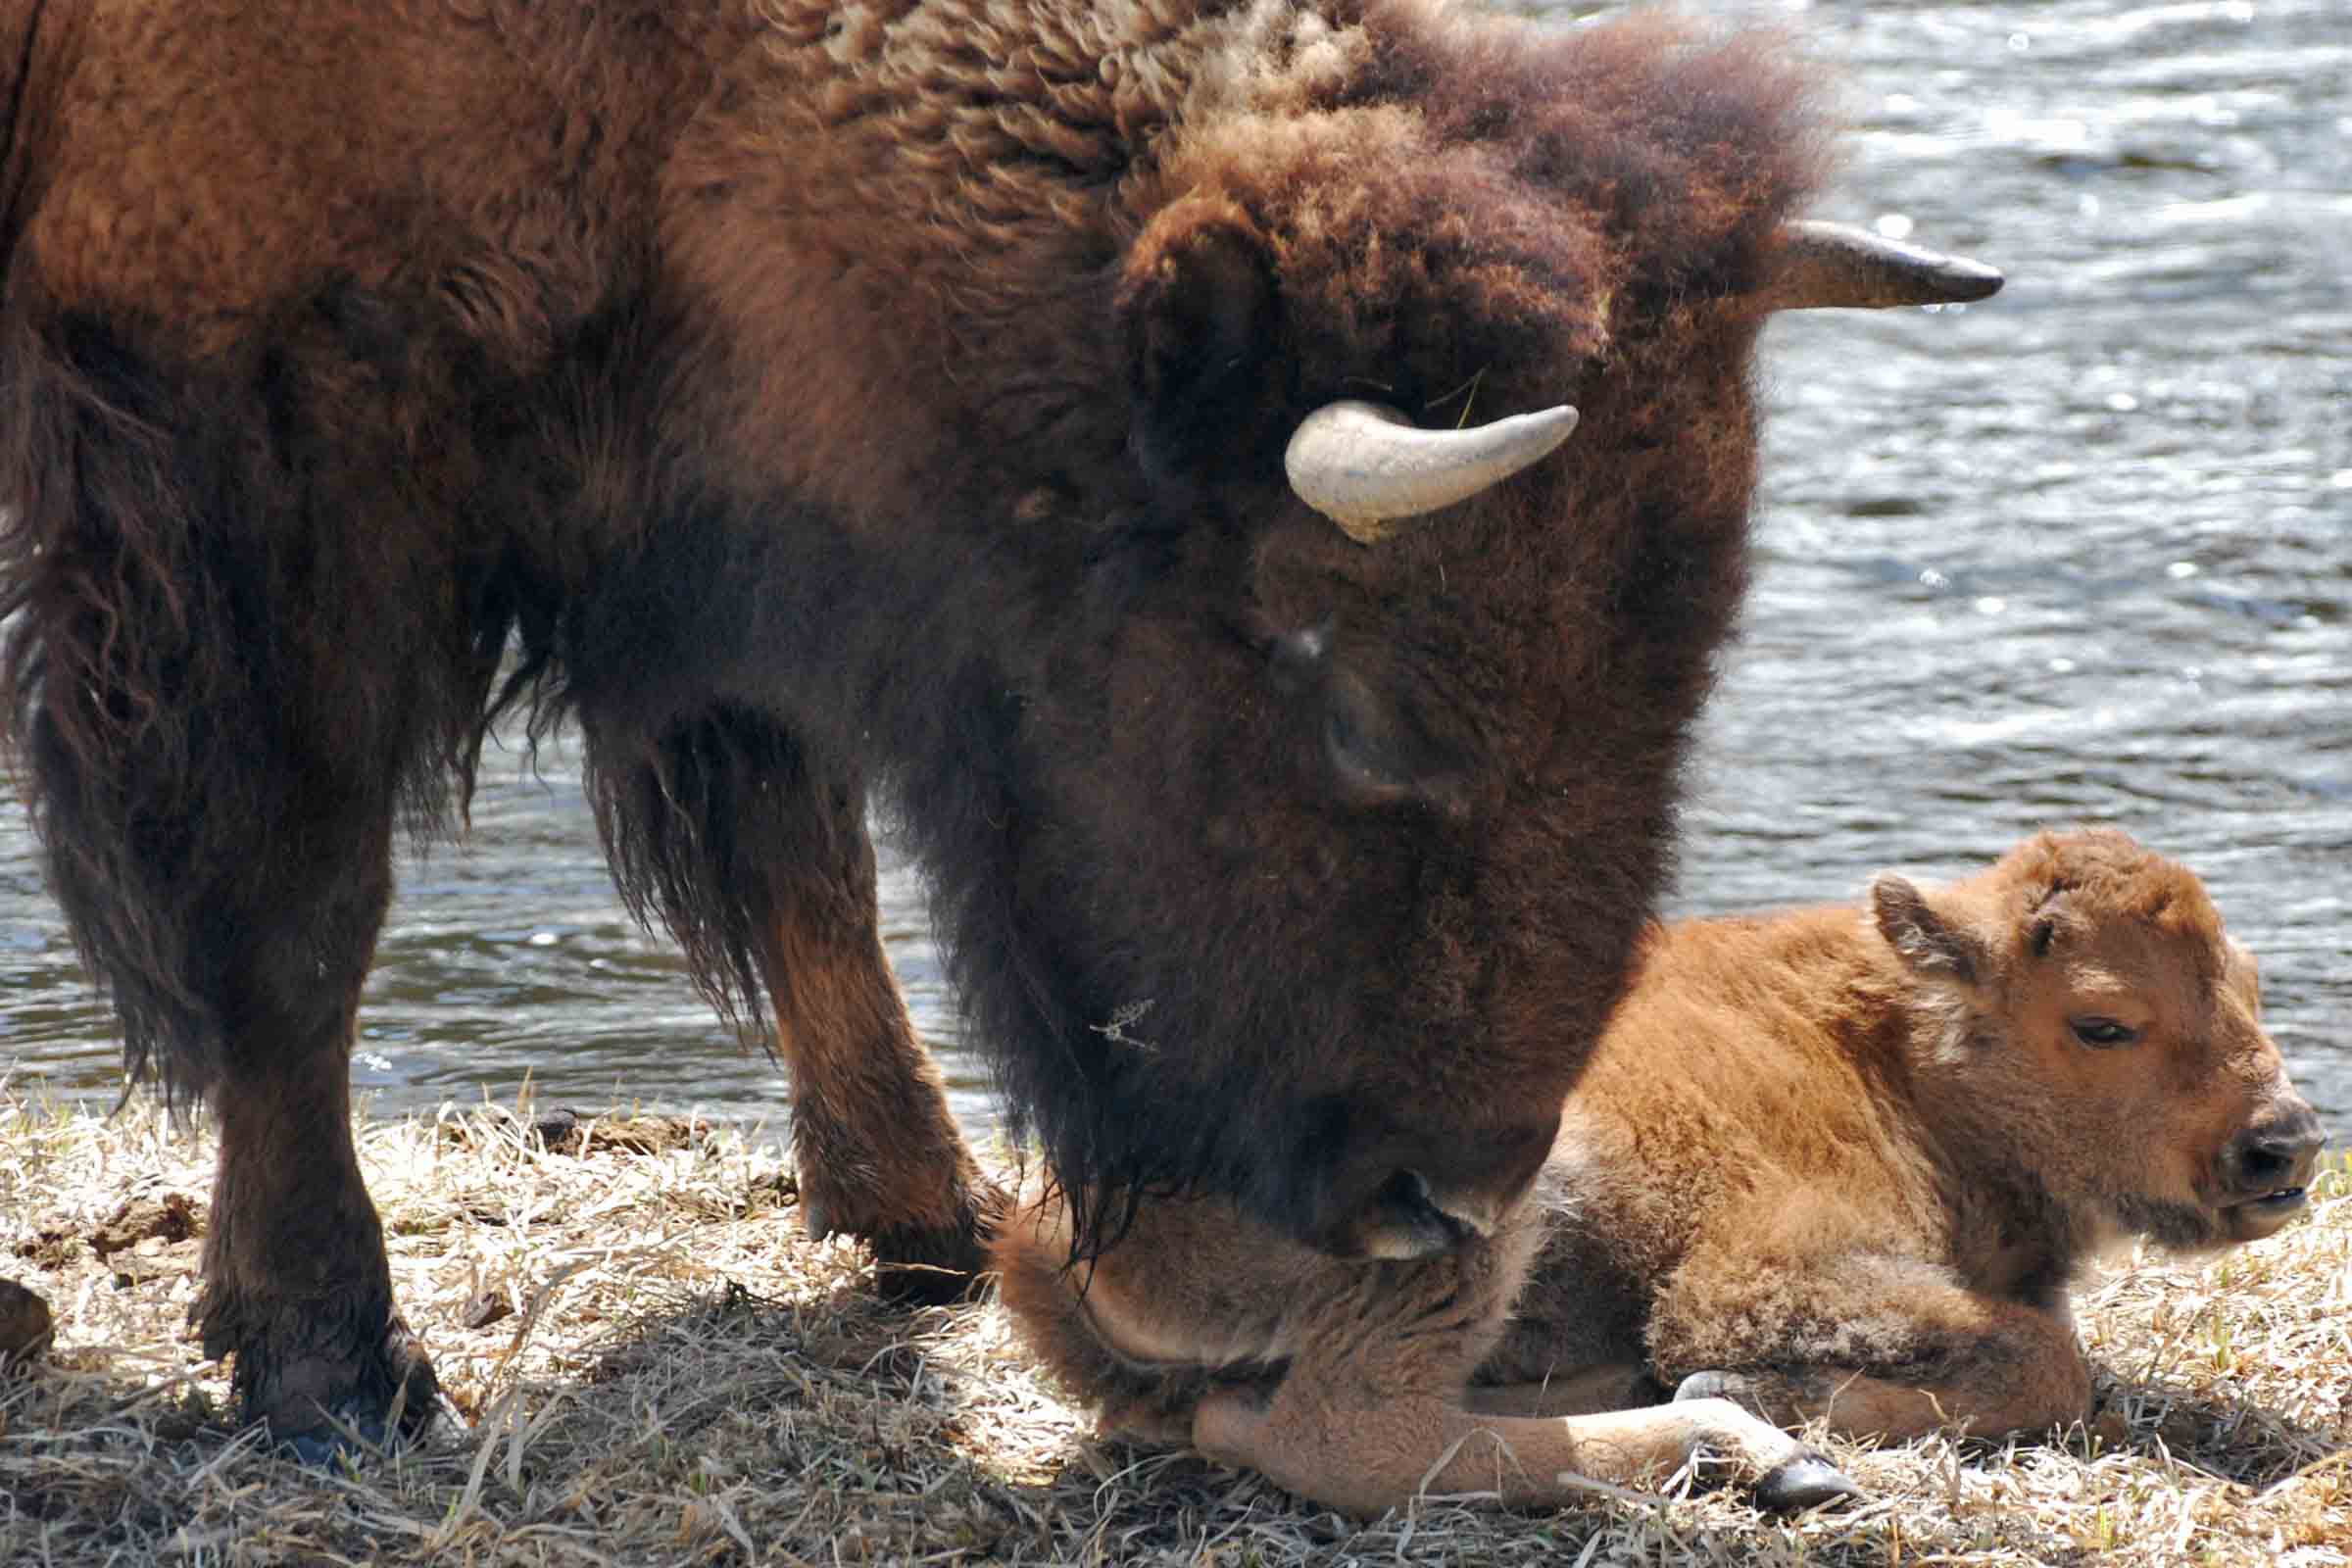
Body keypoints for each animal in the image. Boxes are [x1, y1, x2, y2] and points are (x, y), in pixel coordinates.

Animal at [4, 0, 2003, 1447]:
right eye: (1346, 681)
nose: (1438, 1197)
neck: (675, 79)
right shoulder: (251, 445)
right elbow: (299, 923)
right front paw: (330, 1361)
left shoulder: (724, 503)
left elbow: (807, 861)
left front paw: (926, 1219)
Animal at [997, 827, 2332, 1513]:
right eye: (2104, 1022)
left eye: (2249, 980)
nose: (2285, 1143)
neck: (1891, 1044)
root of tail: (1051, 1224)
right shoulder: (1772, 1270)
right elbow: (2052, 1361)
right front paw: (1780, 1397)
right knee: (1346, 1434)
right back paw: (1750, 1445)